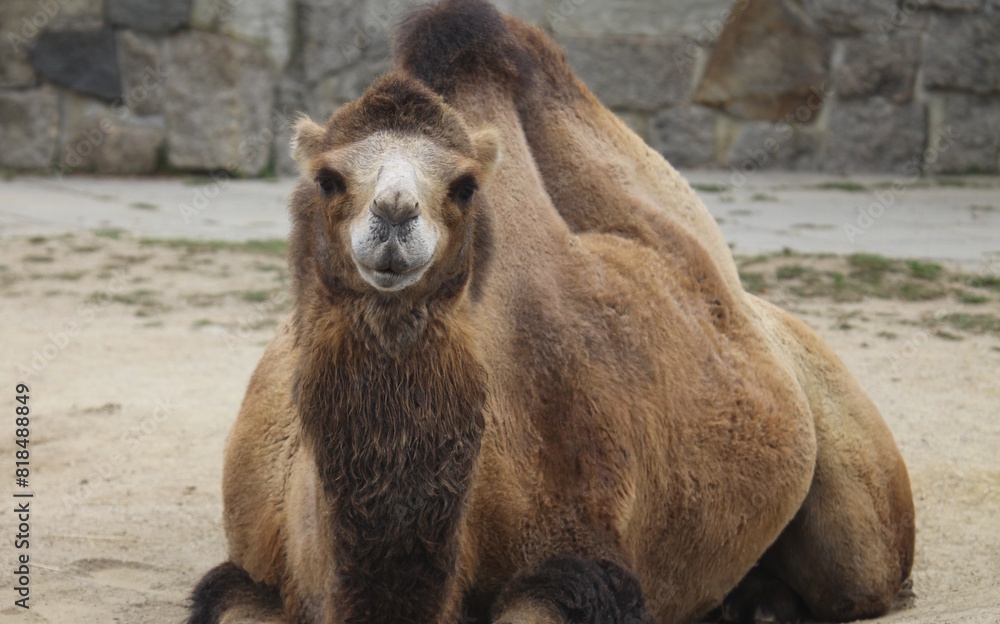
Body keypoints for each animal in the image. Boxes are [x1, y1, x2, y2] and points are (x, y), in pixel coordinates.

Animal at [188, 2, 913, 623]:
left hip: (852, 494)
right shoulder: (253, 571)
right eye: (329, 178)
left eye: (464, 185)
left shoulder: (584, 554)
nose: (394, 215)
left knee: (858, 574)